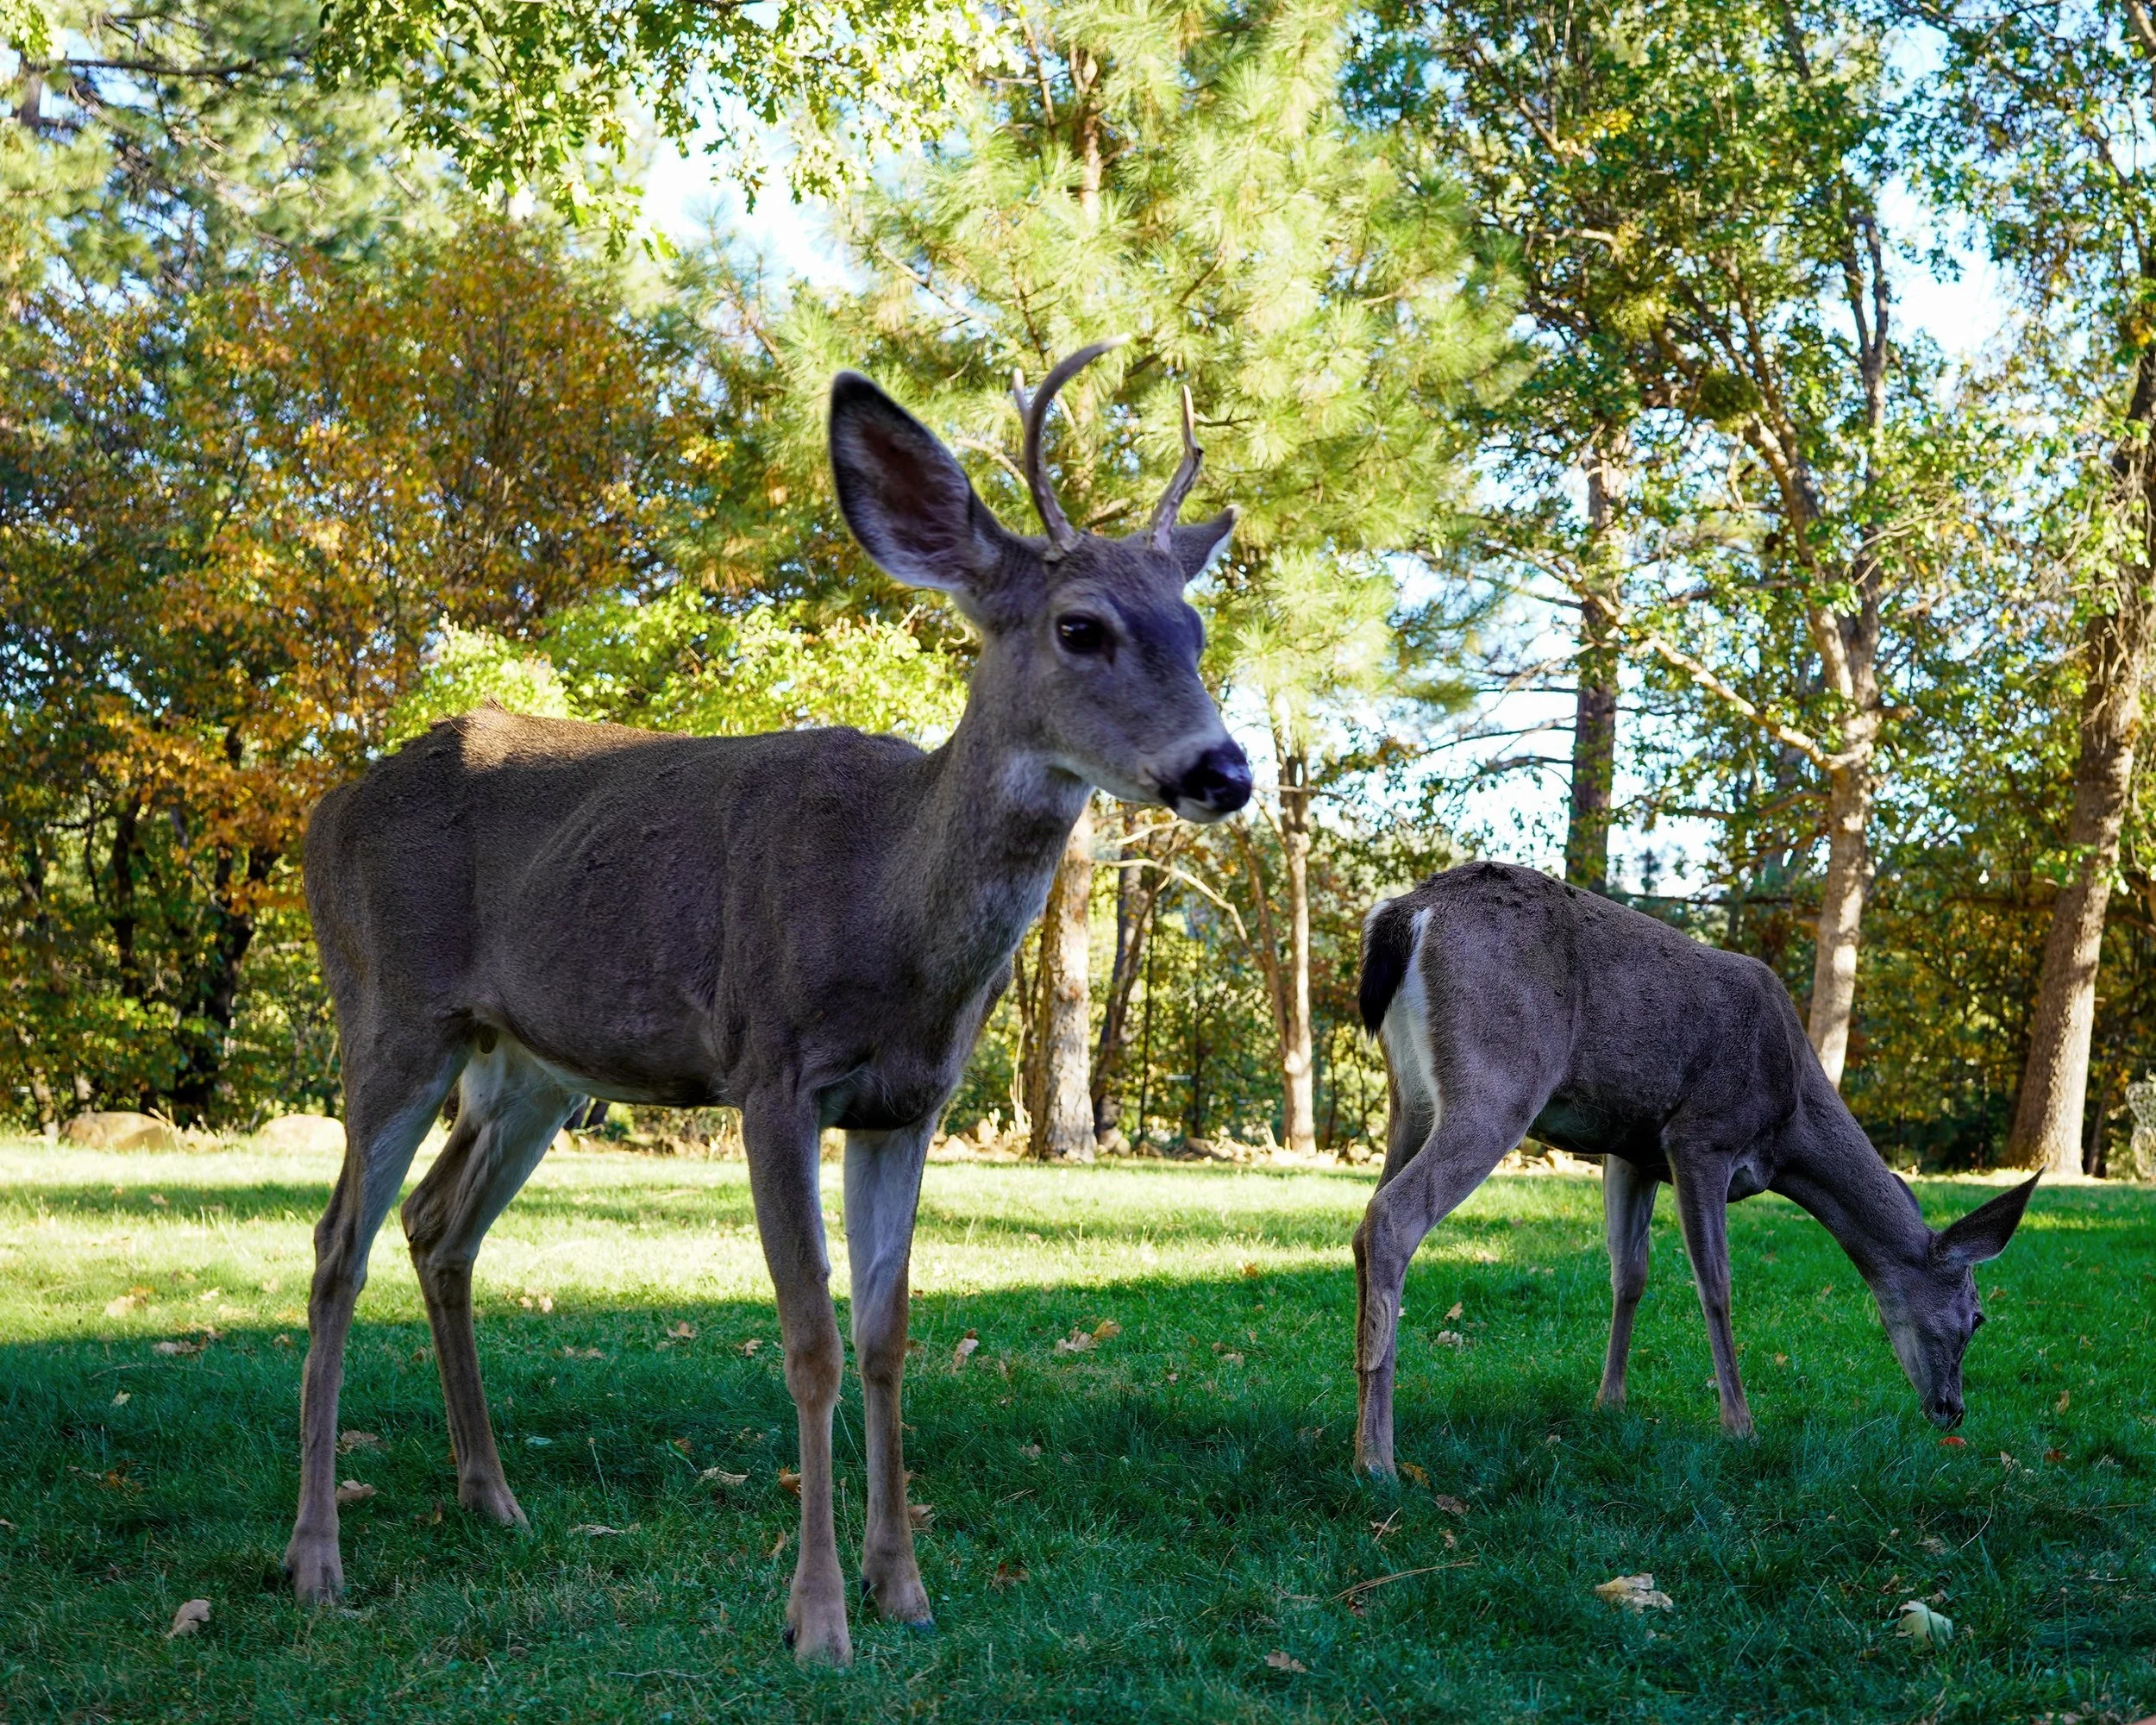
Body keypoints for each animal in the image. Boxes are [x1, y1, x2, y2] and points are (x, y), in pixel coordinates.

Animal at [287, 344, 1252, 1665]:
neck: (888, 910)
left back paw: (492, 1496)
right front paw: (820, 1617)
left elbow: (889, 1335)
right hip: (389, 1009)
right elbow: (810, 1339)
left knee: (439, 1225)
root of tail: (323, 810)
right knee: (339, 1240)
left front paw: (906, 1587)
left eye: (1195, 628)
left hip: (532, 1066)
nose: (1225, 769)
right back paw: (314, 1557)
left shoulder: (909, 1103)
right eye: (1081, 626)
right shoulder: (770, 1070)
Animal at [1350, 860, 2038, 1475]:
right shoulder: (1702, 1135)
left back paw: (1361, 1427)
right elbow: (1717, 1284)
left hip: (1409, 1098)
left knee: (1366, 1220)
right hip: (1499, 1078)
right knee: (1391, 1217)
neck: (1791, 1123)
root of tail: (1408, 913)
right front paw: (1740, 1424)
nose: (1951, 1410)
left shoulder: (1631, 1151)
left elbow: (1629, 1275)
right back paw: (1378, 1460)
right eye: (1978, 1317)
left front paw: (1610, 1402)